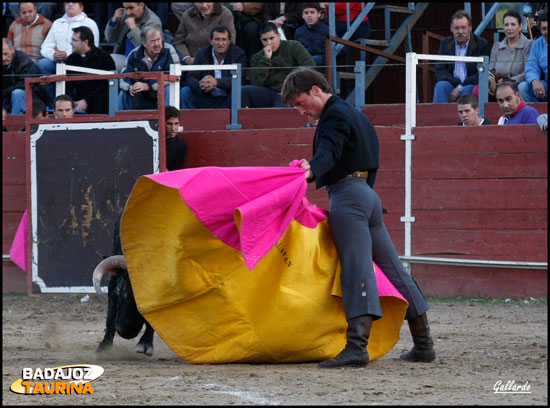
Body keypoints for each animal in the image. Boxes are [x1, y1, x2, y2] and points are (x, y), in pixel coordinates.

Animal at [91, 218, 154, 356]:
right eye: (122, 290)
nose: (126, 332)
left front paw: (145, 343)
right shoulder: (113, 283)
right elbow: (110, 317)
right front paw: (104, 347)